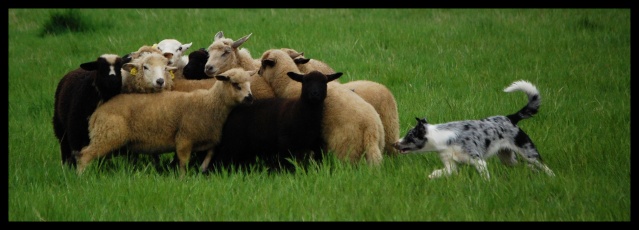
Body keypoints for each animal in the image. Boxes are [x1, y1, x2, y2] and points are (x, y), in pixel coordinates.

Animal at [75, 67, 255, 177]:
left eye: (249, 83)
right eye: (235, 84)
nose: (250, 98)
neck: (209, 103)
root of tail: (97, 113)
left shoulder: (210, 138)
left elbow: (211, 152)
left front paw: (202, 168)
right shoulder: (184, 138)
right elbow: (183, 162)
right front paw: (183, 179)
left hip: (107, 138)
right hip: (108, 135)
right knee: (85, 154)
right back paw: (81, 176)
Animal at [210, 70, 342, 172]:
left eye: (324, 82)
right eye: (305, 81)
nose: (315, 94)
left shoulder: (315, 146)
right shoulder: (285, 144)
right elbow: (287, 166)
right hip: (232, 142)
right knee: (220, 160)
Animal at [392, 81, 552, 180]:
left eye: (409, 136)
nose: (394, 143)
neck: (445, 138)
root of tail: (511, 117)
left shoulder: (478, 161)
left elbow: (485, 177)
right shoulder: (450, 166)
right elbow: (440, 173)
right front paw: (432, 176)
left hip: (529, 153)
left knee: (544, 167)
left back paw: (552, 177)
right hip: (508, 159)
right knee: (525, 166)